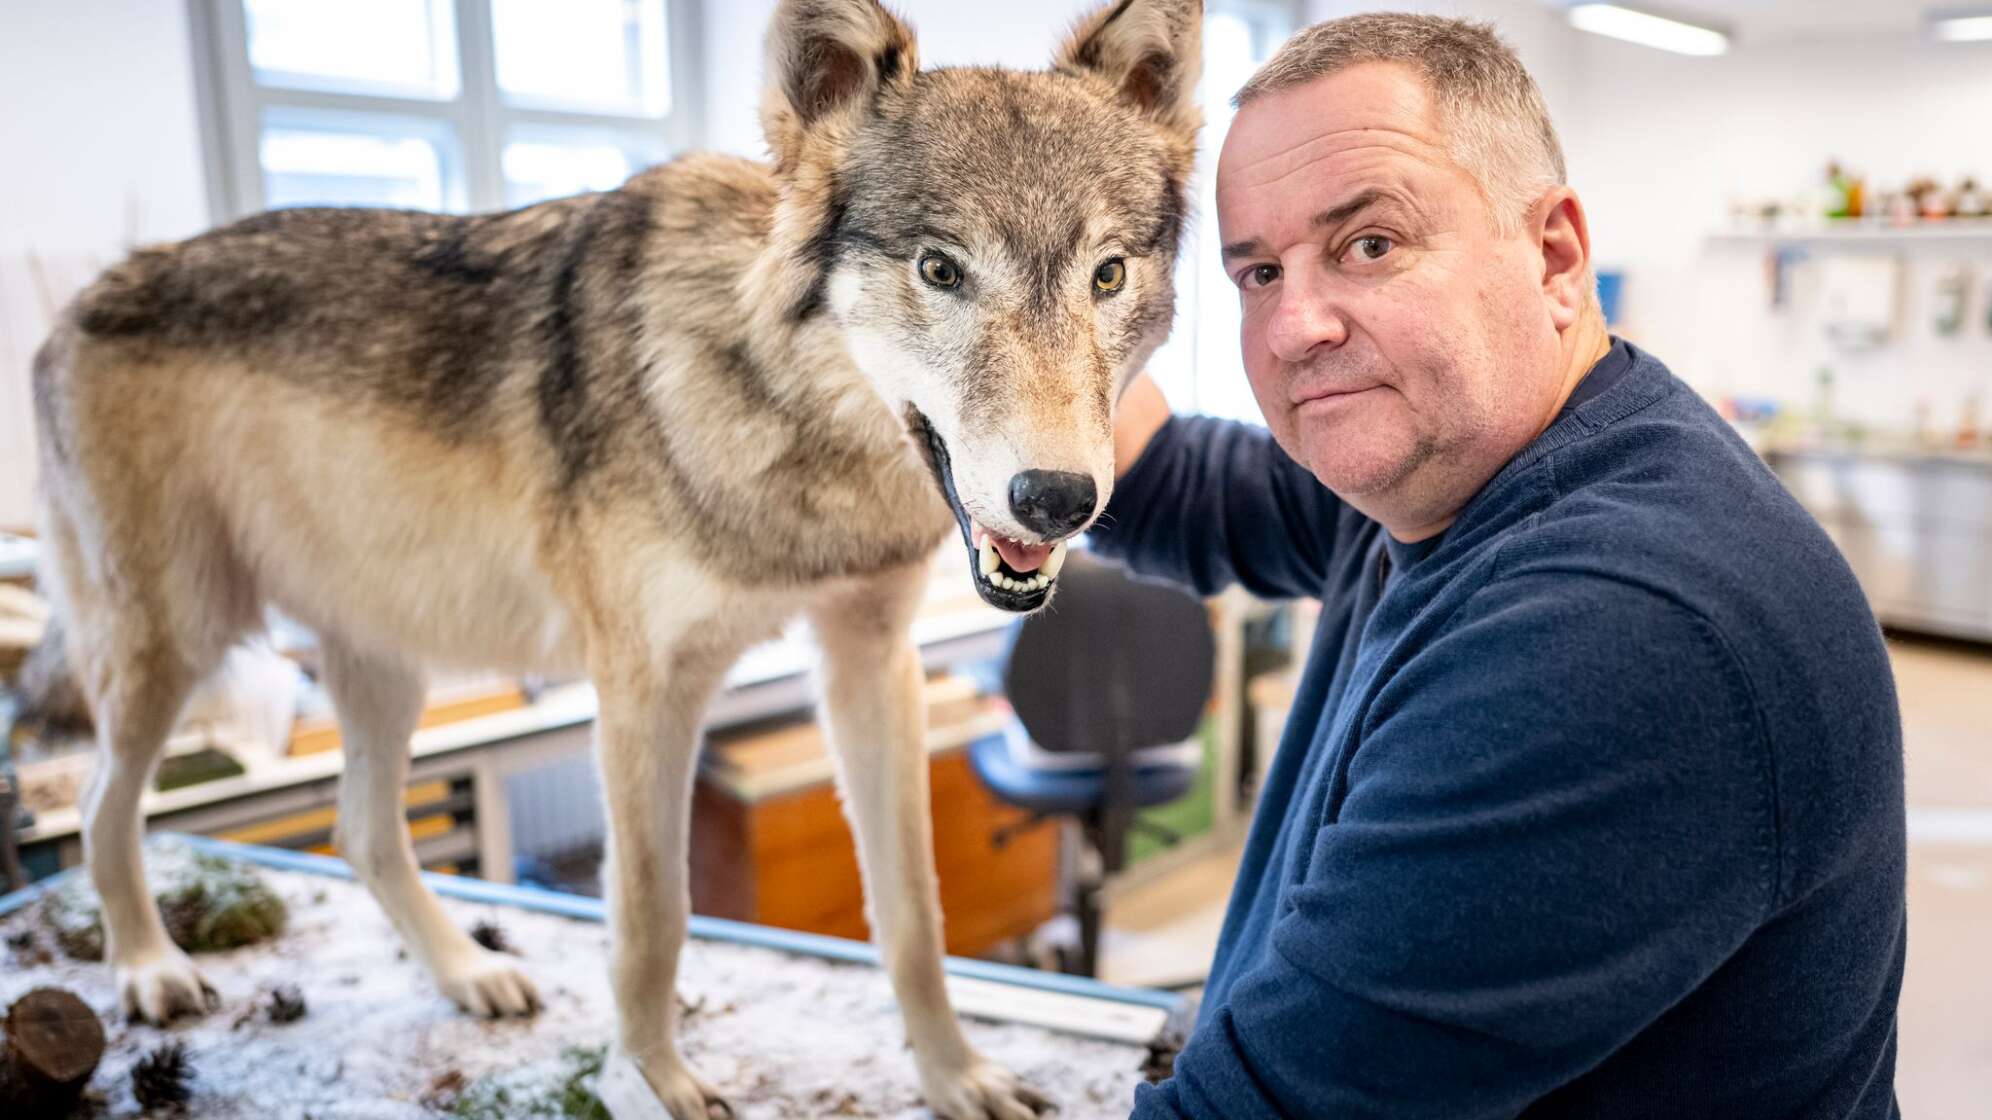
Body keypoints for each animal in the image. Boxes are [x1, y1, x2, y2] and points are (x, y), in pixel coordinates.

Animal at [22, 0, 1200, 1115]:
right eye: (941, 269)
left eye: (1107, 275)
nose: (1058, 499)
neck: (784, 415)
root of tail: (73, 305)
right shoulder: (644, 691)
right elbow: (653, 915)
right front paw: (654, 1079)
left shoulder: (871, 660)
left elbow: (914, 911)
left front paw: (957, 1077)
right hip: (175, 645)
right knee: (103, 810)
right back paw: (149, 968)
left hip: (382, 665)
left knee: (362, 832)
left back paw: (467, 974)